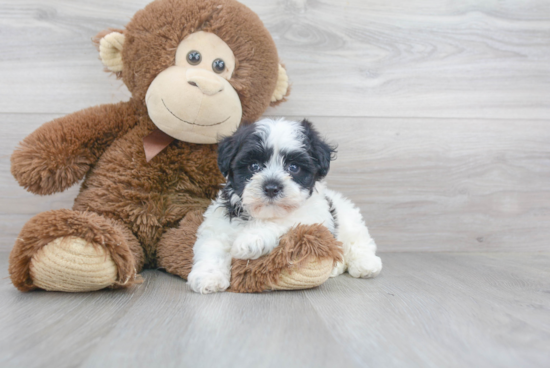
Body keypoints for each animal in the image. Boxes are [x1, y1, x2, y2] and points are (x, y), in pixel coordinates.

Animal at [188, 118, 382, 294]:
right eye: (254, 166)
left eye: (293, 167)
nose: (271, 187)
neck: (262, 213)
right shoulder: (219, 224)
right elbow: (212, 247)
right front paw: (208, 277)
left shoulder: (313, 216)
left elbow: (284, 220)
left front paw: (251, 240)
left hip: (350, 220)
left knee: (359, 242)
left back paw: (366, 264)